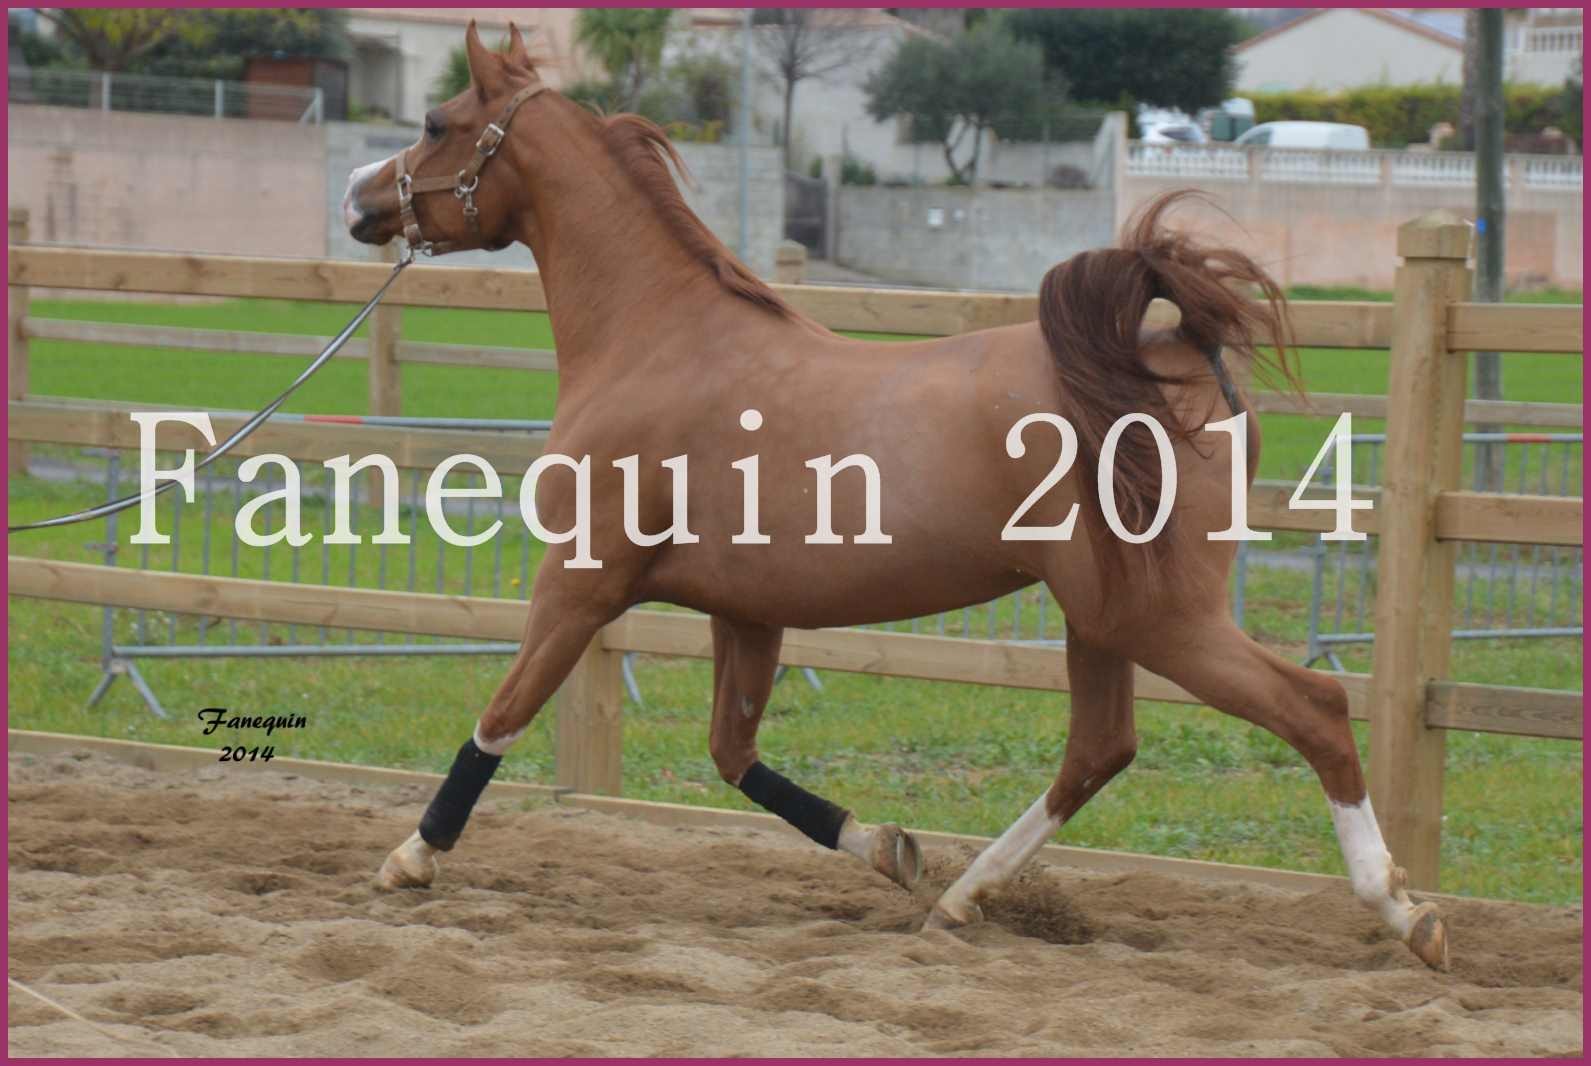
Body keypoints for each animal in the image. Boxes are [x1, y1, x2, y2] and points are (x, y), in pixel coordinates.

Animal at [342, 20, 1450, 973]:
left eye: (436, 122)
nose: (358, 198)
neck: (653, 338)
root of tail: (1173, 353)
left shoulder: (581, 584)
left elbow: (503, 712)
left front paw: (410, 856)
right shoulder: (746, 613)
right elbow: (735, 756)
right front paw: (890, 849)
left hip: (1159, 614)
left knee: (1312, 708)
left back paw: (1407, 913)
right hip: (1102, 615)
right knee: (1100, 748)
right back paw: (960, 898)